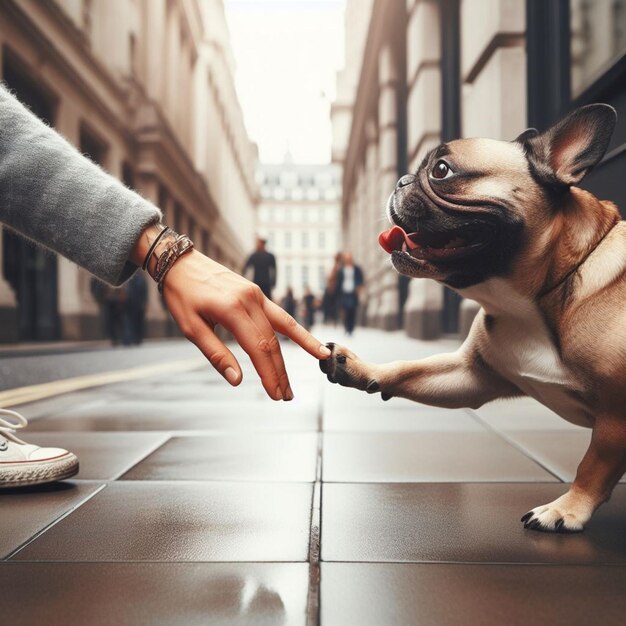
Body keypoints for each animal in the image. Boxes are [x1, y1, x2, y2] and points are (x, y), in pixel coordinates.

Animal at [320, 103, 624, 532]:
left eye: (441, 170)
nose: (400, 180)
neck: (528, 300)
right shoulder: (470, 374)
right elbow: (409, 369)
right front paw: (359, 367)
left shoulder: (615, 414)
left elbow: (593, 464)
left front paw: (565, 509)